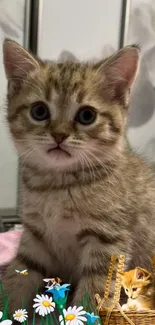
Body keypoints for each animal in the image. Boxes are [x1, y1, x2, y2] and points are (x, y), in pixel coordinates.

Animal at [1, 39, 155, 312]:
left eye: (87, 115)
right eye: (39, 111)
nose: (59, 135)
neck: (57, 185)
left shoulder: (108, 241)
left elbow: (95, 291)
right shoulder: (35, 236)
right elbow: (19, 273)